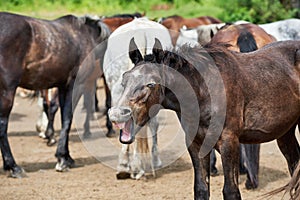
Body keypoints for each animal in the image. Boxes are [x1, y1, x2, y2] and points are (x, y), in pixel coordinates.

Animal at [0, 12, 110, 177]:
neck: (85, 36)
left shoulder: (62, 87)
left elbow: (64, 117)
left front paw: (67, 157)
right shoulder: (73, 86)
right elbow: (67, 119)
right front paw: (62, 159)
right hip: (7, 91)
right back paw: (13, 166)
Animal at [109, 38, 300, 200]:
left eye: (151, 83)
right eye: (124, 79)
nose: (117, 114)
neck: (205, 90)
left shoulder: (229, 142)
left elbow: (231, 191)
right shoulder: (196, 143)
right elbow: (201, 189)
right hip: (285, 133)